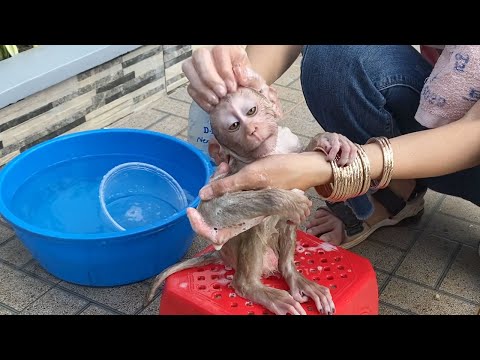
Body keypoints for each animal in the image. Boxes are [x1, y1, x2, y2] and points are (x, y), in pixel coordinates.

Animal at [146, 79, 356, 316]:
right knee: (257, 225)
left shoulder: (290, 145)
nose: (252, 130)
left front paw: (328, 140)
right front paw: (287, 201)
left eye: (251, 111)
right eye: (234, 126)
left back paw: (290, 272)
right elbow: (212, 208)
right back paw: (250, 286)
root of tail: (222, 256)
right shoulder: (237, 170)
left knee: (284, 223)